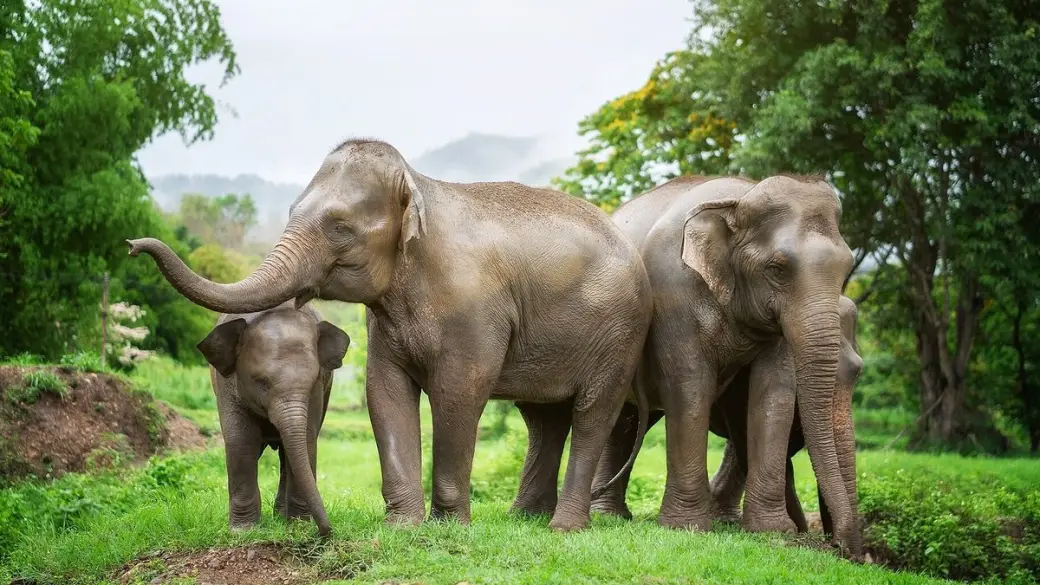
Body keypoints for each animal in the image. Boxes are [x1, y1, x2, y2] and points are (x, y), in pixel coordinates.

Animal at [196, 301, 351, 537]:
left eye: (314, 380)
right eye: (262, 383)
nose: (325, 532)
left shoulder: (319, 391)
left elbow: (307, 438)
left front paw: (297, 528)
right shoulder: (227, 385)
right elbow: (241, 441)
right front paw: (243, 531)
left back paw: (282, 518)